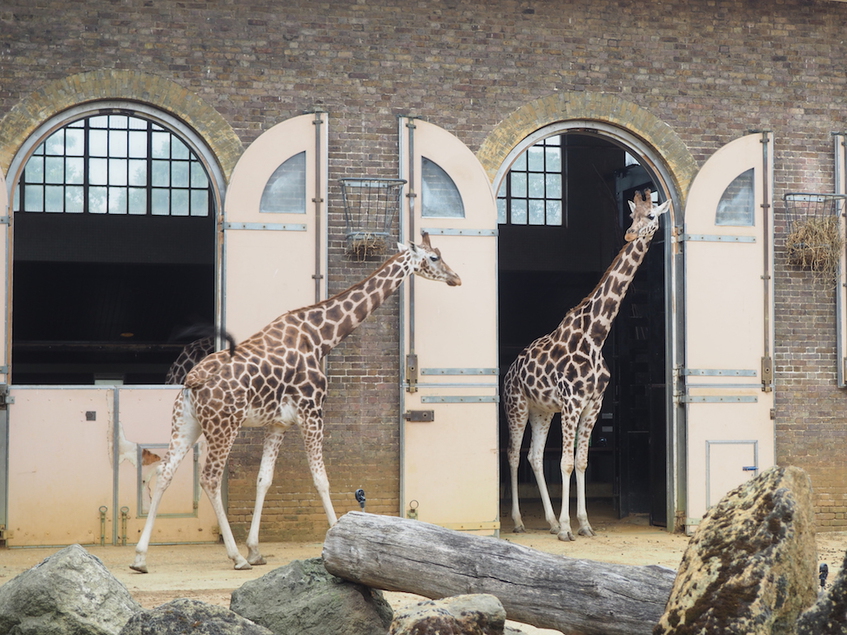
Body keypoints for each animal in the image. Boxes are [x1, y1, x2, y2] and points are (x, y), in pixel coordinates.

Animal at [131, 232, 461, 572]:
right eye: (434, 257)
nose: (456, 278)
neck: (321, 337)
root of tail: (192, 380)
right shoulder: (312, 412)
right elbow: (321, 479)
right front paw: (335, 537)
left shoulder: (278, 423)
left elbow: (264, 479)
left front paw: (256, 549)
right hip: (224, 426)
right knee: (209, 478)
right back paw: (235, 557)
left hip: (187, 423)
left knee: (166, 471)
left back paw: (141, 557)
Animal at [504, 190, 670, 542]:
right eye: (632, 215)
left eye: (650, 216)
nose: (630, 235)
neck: (596, 335)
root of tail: (509, 371)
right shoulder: (572, 402)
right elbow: (566, 462)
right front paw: (568, 528)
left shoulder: (593, 404)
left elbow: (580, 462)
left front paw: (583, 524)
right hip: (517, 405)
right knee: (512, 454)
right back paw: (520, 521)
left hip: (542, 411)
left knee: (534, 456)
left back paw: (550, 522)